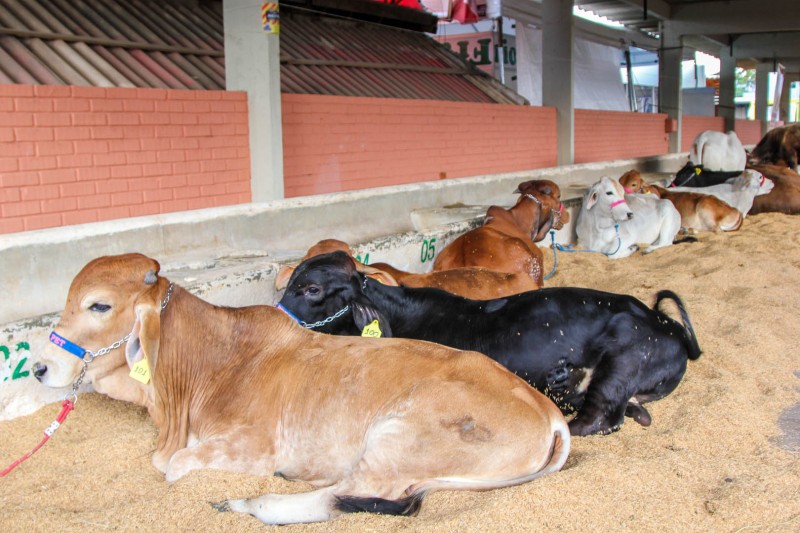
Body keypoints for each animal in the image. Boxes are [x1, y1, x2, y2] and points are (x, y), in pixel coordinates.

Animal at [32, 252, 568, 524]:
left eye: (99, 306)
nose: (38, 367)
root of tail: (548, 412)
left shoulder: (249, 447)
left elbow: (175, 467)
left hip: (396, 441)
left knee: (345, 495)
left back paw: (249, 503)